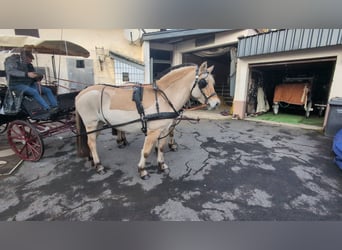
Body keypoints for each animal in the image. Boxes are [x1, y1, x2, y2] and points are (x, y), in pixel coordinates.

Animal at [75, 62, 220, 180]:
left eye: (213, 83)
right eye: (203, 83)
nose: (216, 103)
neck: (163, 97)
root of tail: (80, 94)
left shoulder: (164, 130)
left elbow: (160, 147)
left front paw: (162, 165)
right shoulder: (153, 132)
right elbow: (146, 151)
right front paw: (142, 171)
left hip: (98, 124)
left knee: (90, 141)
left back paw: (93, 160)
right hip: (91, 124)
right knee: (92, 143)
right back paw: (99, 166)